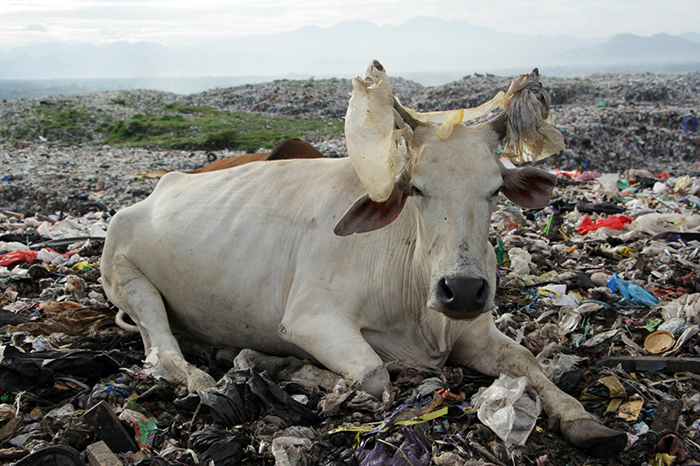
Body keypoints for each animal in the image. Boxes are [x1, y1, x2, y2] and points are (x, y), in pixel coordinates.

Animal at [100, 60, 628, 456]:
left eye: (496, 189)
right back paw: (214, 376)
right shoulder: (311, 317)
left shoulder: (472, 329)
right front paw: (307, 374)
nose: (461, 290)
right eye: (417, 188)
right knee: (164, 353)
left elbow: (528, 362)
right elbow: (374, 375)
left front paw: (582, 419)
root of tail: (157, 189)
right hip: (129, 280)